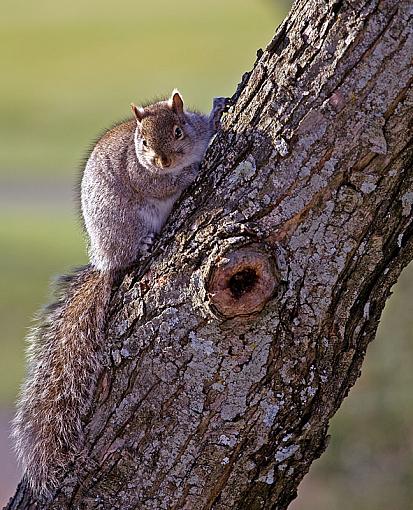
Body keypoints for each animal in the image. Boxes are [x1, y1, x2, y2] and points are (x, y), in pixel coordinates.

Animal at [12, 89, 225, 496]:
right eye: (143, 143)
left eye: (178, 130)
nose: (161, 160)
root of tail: (104, 261)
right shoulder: (144, 176)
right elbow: (165, 184)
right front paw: (191, 171)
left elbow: (207, 124)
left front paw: (218, 112)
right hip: (125, 225)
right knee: (128, 255)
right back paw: (141, 247)